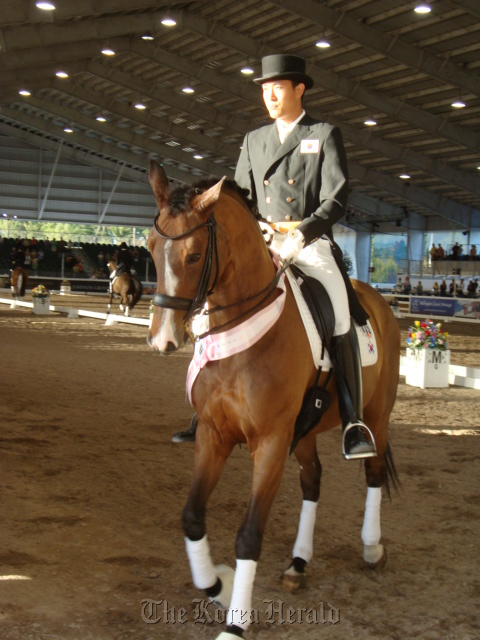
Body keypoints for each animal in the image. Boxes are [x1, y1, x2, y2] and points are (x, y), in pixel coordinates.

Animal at [147, 161, 402, 640]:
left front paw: (235, 623)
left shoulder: (268, 443)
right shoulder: (214, 436)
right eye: (150, 248)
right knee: (313, 479)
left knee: (374, 474)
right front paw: (219, 585)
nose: (162, 340)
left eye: (193, 256)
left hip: (377, 415)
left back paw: (373, 547)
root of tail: (378, 299)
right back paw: (298, 563)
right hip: (305, 429)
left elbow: (249, 535)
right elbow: (192, 517)